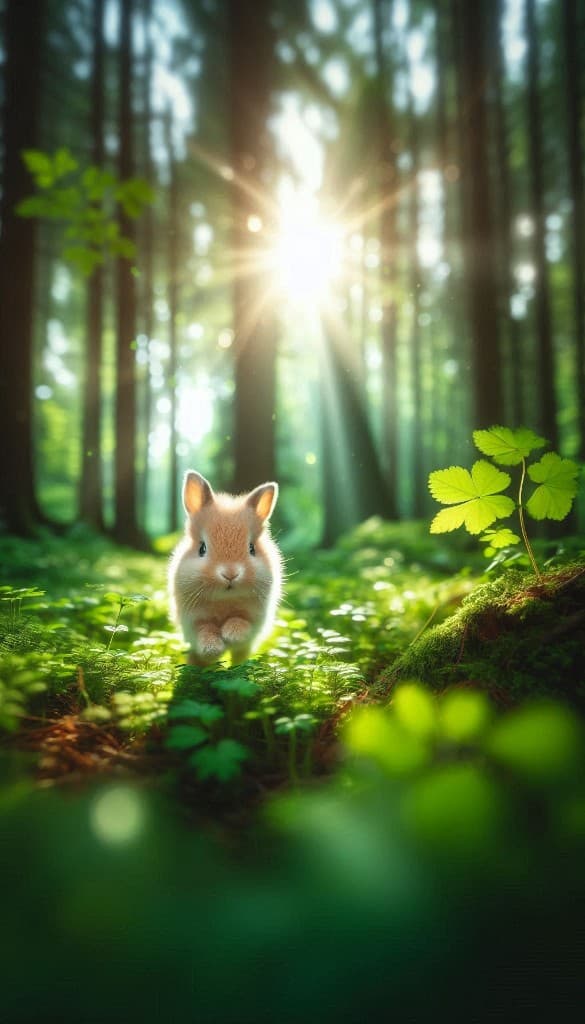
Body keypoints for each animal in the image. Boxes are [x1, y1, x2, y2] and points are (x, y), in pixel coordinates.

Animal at [169, 470, 282, 666]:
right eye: (202, 548)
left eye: (252, 548)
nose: (230, 574)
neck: (224, 599)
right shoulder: (195, 621)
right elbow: (205, 630)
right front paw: (213, 648)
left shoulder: (253, 618)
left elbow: (240, 621)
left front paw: (231, 634)